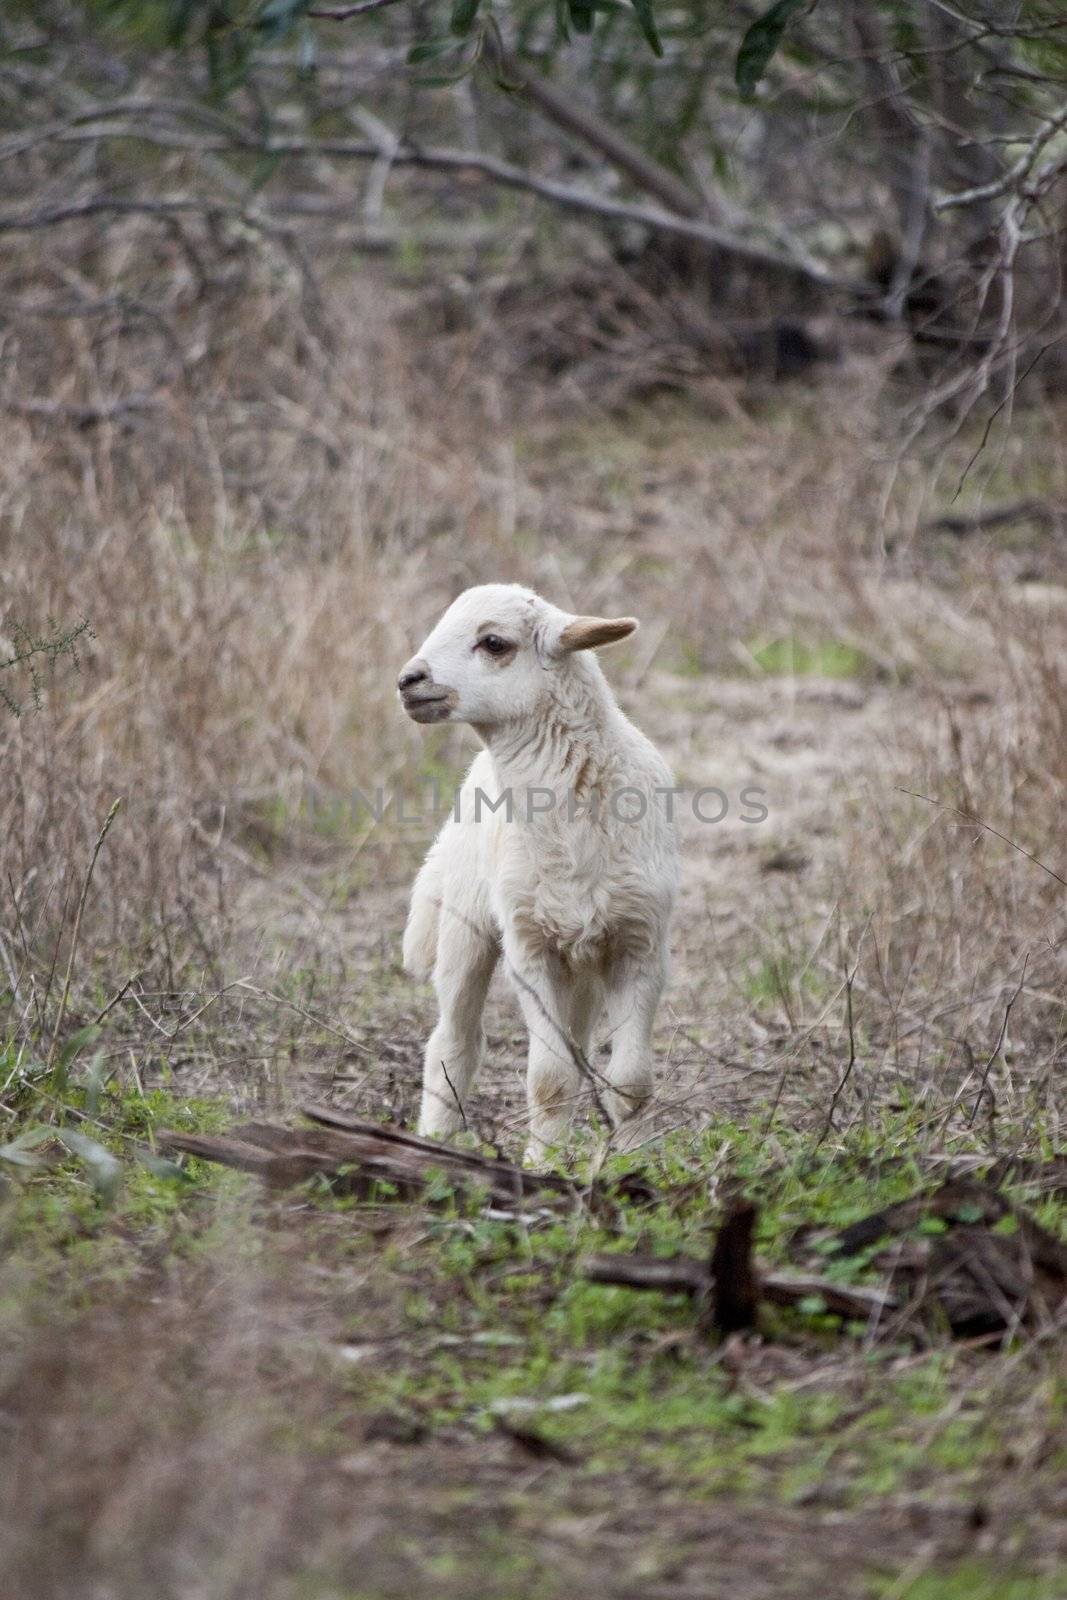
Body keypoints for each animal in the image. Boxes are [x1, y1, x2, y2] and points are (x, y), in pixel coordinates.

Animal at [396, 582, 681, 1158]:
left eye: (494, 643)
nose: (408, 681)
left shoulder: (641, 944)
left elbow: (631, 1082)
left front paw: (638, 1161)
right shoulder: (529, 950)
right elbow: (548, 1080)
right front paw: (542, 1164)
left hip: (583, 962)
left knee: (578, 1045)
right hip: (465, 928)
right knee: (453, 1043)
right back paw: (434, 1140)